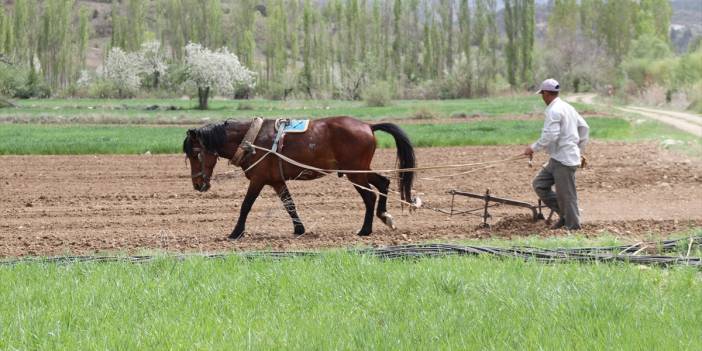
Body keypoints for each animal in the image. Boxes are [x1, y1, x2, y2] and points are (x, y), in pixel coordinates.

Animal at [183, 117, 418, 241]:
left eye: (195, 154)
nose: (197, 184)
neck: (251, 140)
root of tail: (368, 126)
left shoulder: (258, 180)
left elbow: (246, 205)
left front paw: (235, 232)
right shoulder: (276, 181)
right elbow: (289, 204)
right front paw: (299, 229)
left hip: (355, 173)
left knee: (370, 197)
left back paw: (365, 229)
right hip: (360, 170)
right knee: (383, 182)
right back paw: (384, 216)